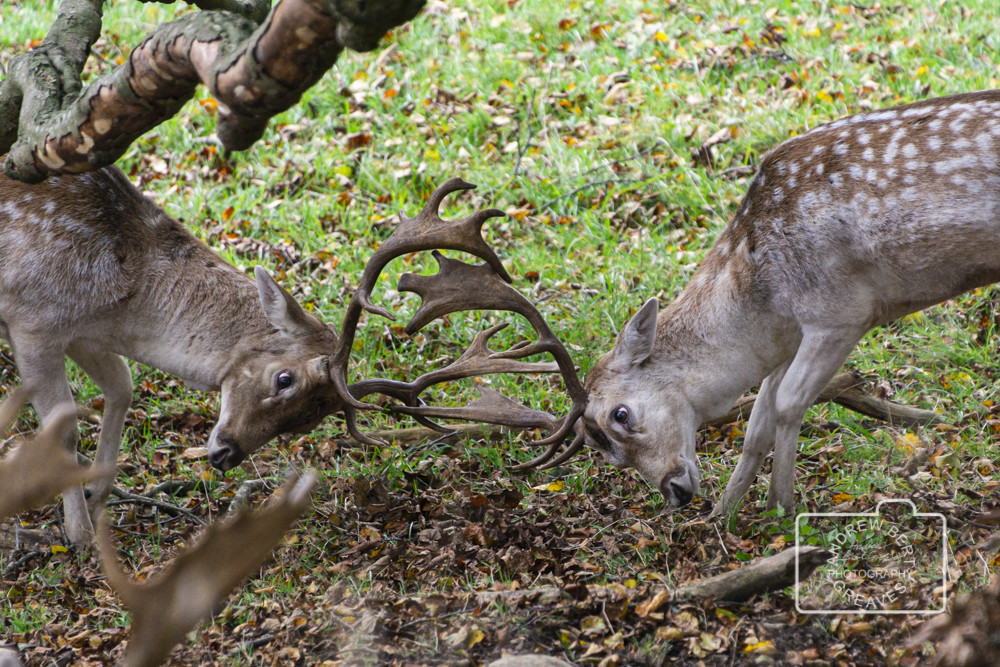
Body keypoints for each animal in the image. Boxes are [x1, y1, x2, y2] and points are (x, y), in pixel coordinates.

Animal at [562, 89, 1000, 515]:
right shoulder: (788, 337)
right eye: (606, 452)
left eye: (620, 414)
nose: (675, 491)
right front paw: (724, 513)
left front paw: (780, 506)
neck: (764, 298)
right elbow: (758, 422)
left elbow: (789, 403)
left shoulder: (841, 312)